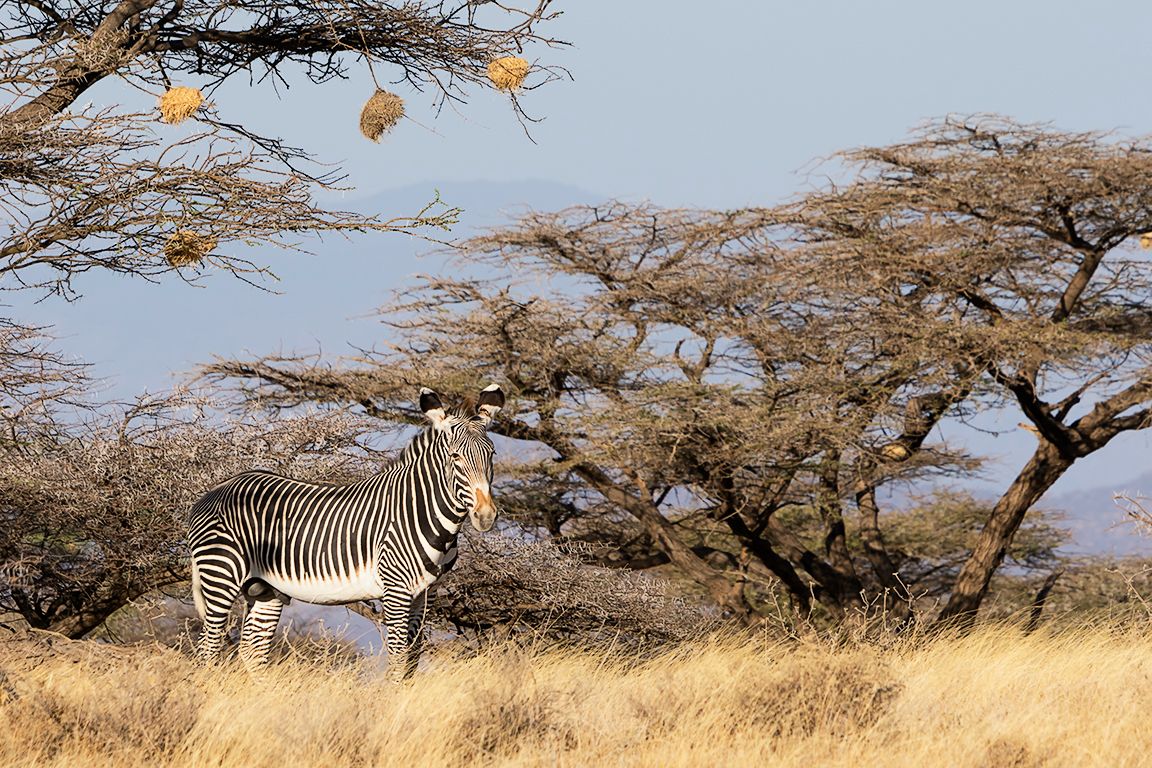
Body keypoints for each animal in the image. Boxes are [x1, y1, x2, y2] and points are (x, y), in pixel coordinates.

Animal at [187, 384, 504, 678]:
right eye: (455, 457)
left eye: (491, 454)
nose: (485, 516)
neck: (420, 509)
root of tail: (216, 489)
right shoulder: (395, 590)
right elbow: (398, 657)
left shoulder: (424, 594)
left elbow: (413, 658)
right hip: (220, 575)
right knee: (207, 648)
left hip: (265, 589)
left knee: (252, 651)